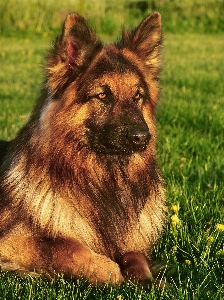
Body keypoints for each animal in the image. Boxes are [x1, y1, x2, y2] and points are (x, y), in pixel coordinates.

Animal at [0, 11, 164, 284]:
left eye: (137, 96)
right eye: (103, 95)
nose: (143, 137)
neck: (103, 180)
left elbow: (135, 254)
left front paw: (144, 277)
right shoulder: (12, 240)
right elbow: (64, 247)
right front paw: (111, 271)